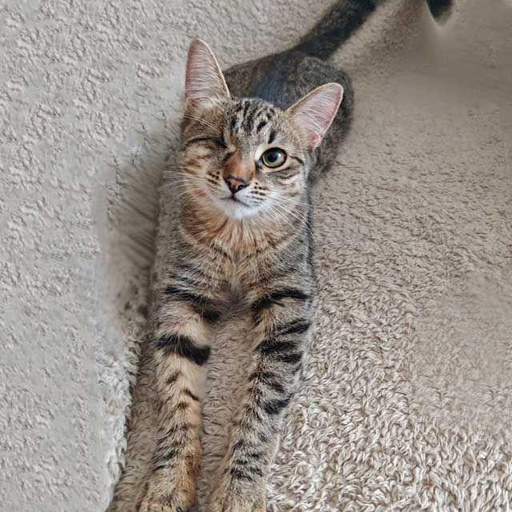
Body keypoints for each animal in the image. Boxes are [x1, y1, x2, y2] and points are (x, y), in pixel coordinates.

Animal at [137, 1, 452, 511]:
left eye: (273, 157)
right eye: (218, 143)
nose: (237, 180)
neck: (236, 239)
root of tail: (296, 51)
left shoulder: (290, 304)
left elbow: (262, 404)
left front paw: (239, 488)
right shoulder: (181, 296)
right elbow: (176, 395)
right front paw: (168, 482)